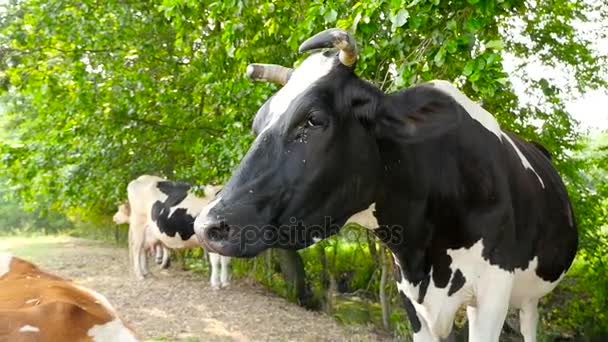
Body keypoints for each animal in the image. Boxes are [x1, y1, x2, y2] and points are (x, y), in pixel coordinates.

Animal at [195, 28, 580, 340]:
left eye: (314, 119)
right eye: (257, 124)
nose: (207, 226)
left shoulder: (492, 294)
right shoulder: (410, 298)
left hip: (529, 295)